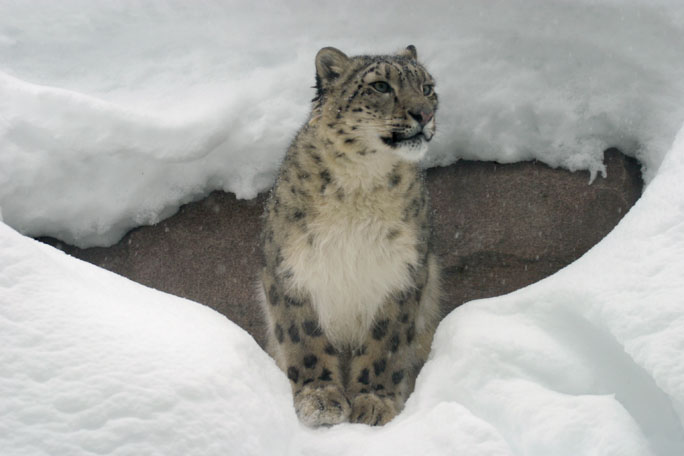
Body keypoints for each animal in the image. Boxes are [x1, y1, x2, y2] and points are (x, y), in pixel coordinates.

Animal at [259, 45, 441, 427]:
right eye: (381, 86)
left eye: (428, 87)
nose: (425, 113)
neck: (361, 184)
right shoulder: (290, 269)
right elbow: (303, 339)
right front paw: (320, 401)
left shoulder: (402, 272)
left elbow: (386, 344)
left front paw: (375, 402)